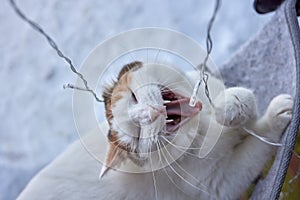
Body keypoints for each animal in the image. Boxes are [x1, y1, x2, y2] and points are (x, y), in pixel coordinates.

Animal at [17, 61, 292, 200]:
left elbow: (237, 99)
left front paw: (232, 105)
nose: (148, 114)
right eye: (137, 132)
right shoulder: (223, 183)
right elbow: (259, 144)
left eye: (134, 97)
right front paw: (276, 115)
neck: (203, 129)